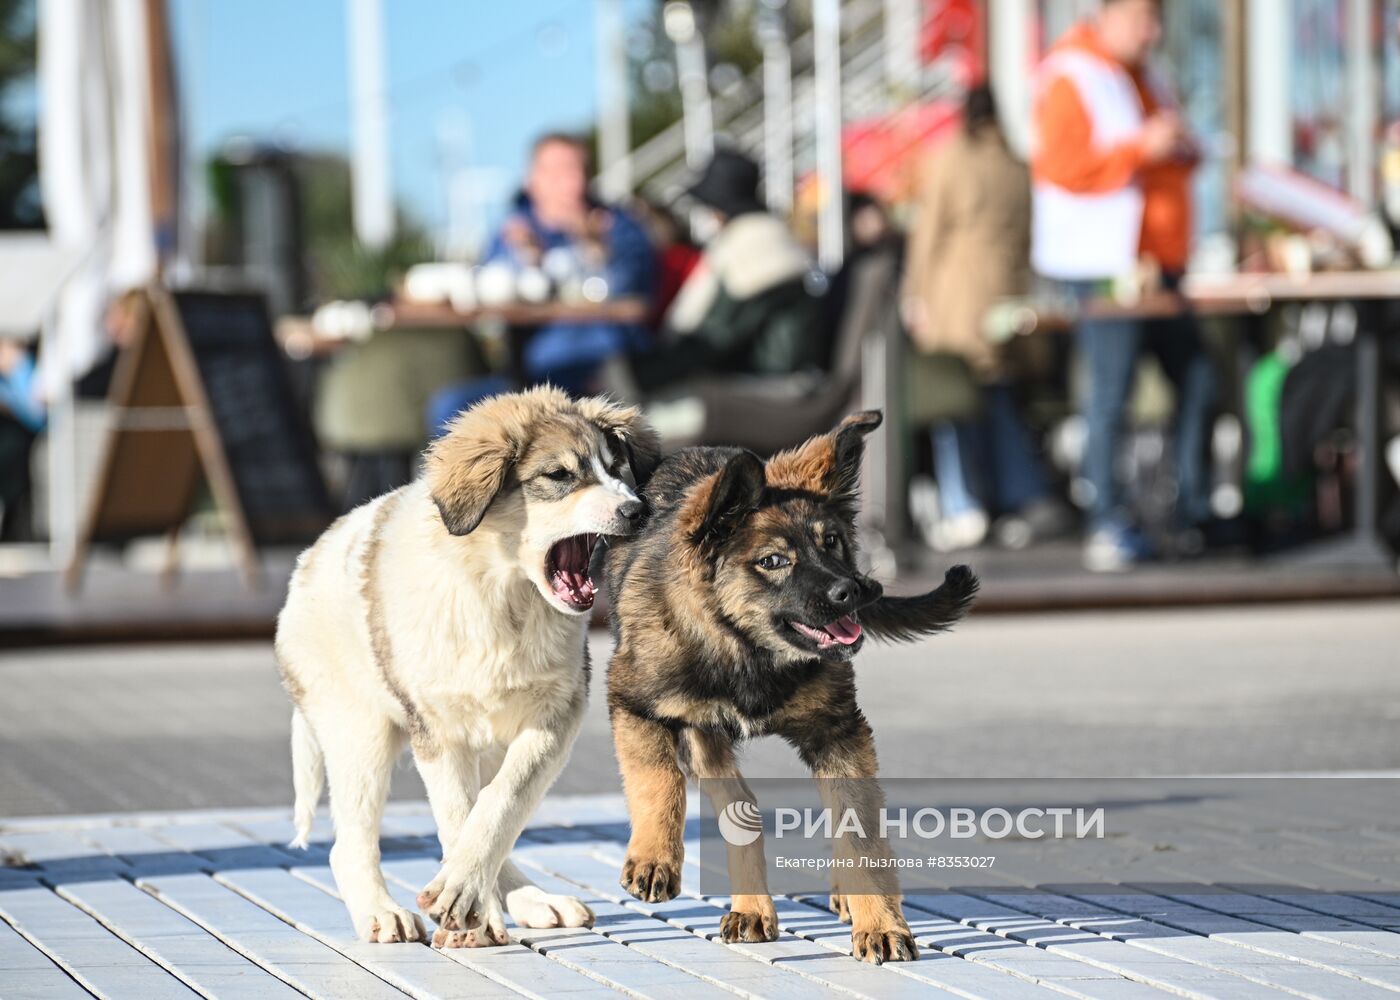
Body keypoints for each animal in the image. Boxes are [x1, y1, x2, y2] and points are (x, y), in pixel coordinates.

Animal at [281, 386, 663, 946]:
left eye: (619, 470)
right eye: (559, 476)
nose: (637, 511)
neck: (502, 595)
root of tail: (310, 558)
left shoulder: (554, 717)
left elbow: (502, 804)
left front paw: (467, 896)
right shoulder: (439, 731)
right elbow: (460, 815)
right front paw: (467, 904)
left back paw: (531, 901)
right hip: (359, 734)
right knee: (348, 843)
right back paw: (382, 913)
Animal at [602, 408, 974, 963]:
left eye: (832, 542)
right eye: (773, 561)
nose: (854, 592)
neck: (748, 653)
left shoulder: (839, 731)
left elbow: (860, 830)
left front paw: (880, 922)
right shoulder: (633, 702)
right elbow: (657, 779)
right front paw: (654, 858)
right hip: (704, 737)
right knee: (740, 809)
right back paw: (751, 908)